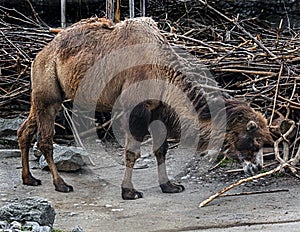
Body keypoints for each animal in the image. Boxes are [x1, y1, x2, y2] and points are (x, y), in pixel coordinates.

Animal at [17, 17, 274, 199]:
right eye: (255, 142)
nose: (258, 167)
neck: (163, 68)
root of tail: (41, 53)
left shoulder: (158, 108)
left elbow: (161, 149)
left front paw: (169, 186)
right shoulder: (136, 107)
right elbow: (132, 151)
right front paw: (129, 192)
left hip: (46, 90)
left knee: (25, 130)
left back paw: (29, 179)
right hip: (48, 88)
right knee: (45, 138)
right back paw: (61, 184)